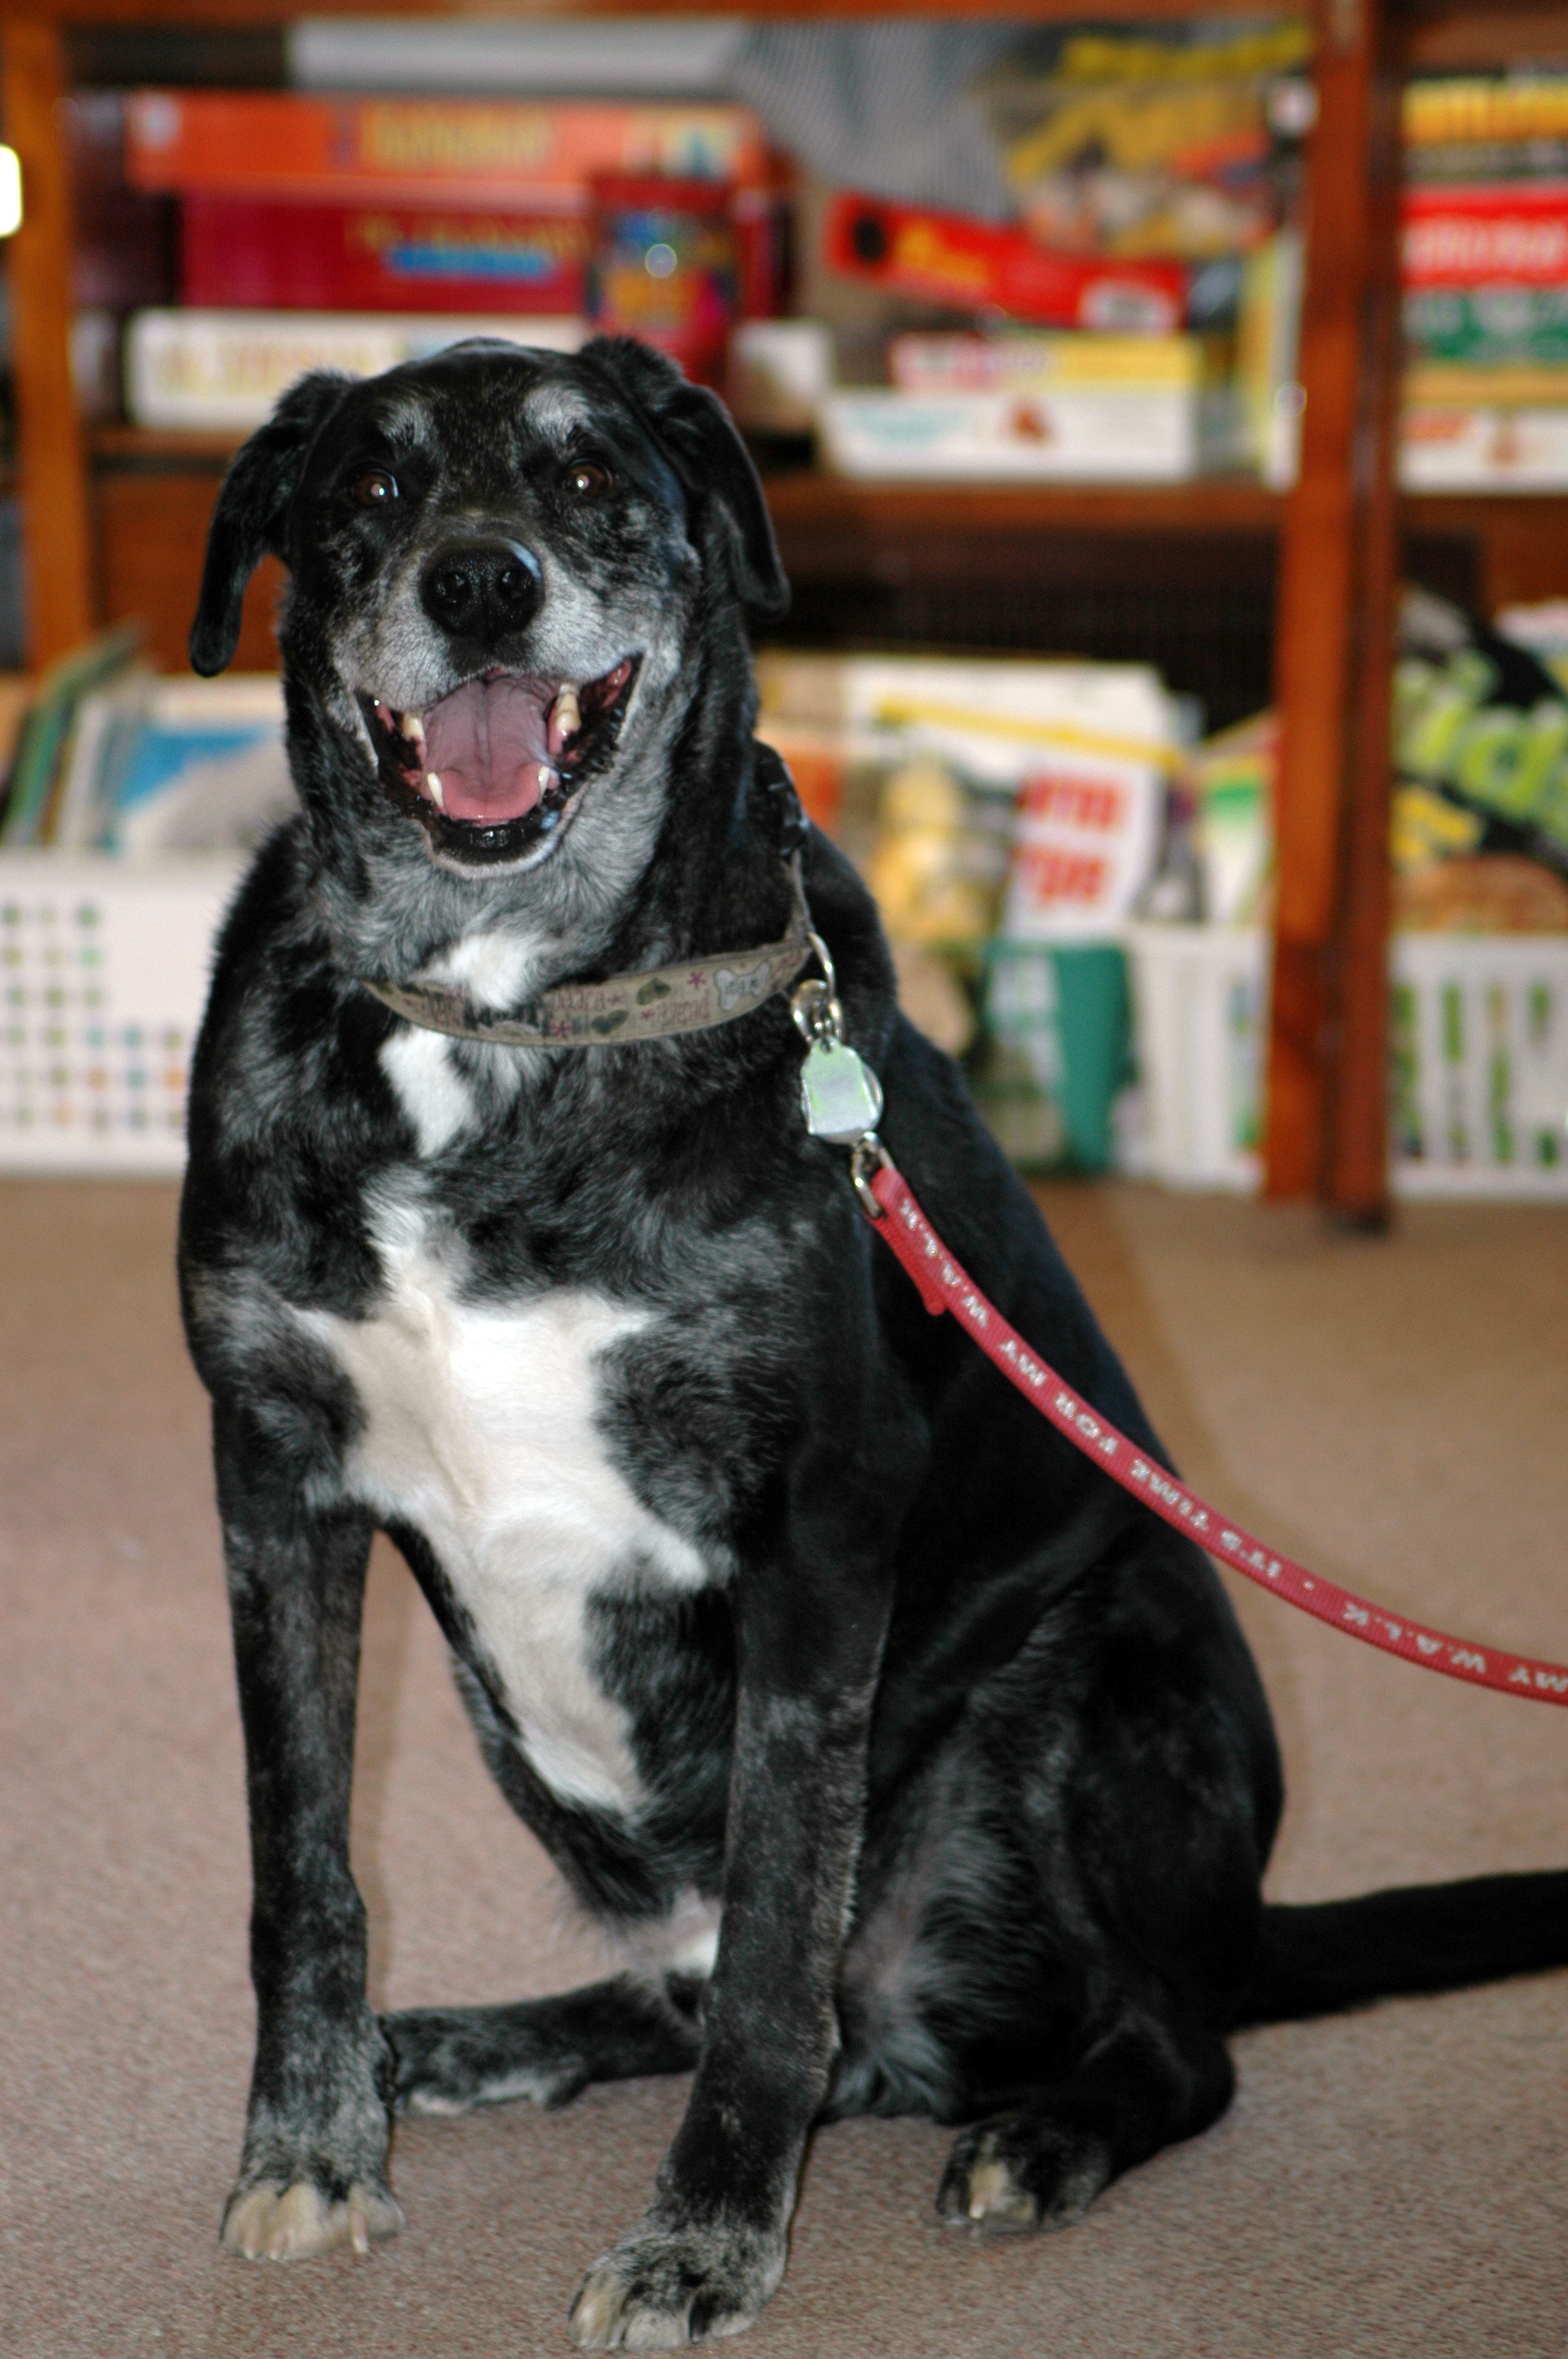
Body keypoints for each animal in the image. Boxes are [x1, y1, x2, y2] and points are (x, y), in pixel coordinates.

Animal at [180, 342, 1565, 2349]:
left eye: (588, 477)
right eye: (366, 490)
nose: (480, 585)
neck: (504, 1013)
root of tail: (1239, 1919)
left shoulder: (814, 1523)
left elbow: (777, 1946)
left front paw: (702, 2237)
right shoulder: (274, 1477)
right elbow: (301, 1869)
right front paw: (310, 2144)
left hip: (1098, 1668)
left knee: (1150, 2042)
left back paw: (1045, 2134)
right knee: (692, 1992)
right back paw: (460, 2042)